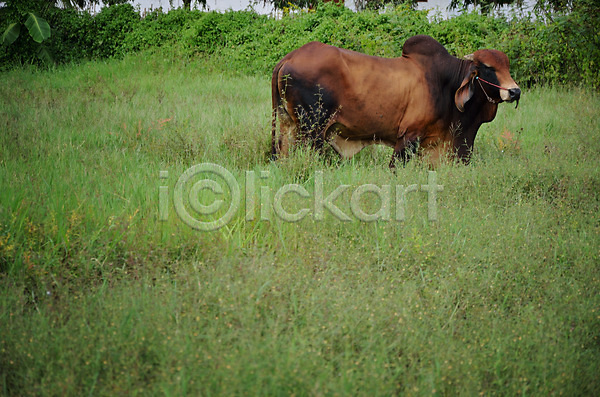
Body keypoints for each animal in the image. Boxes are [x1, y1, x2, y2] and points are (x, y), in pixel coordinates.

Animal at [272, 34, 520, 166]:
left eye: (507, 67)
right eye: (488, 68)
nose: (515, 91)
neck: (446, 84)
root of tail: (289, 58)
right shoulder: (409, 137)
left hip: (286, 126)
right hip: (311, 131)